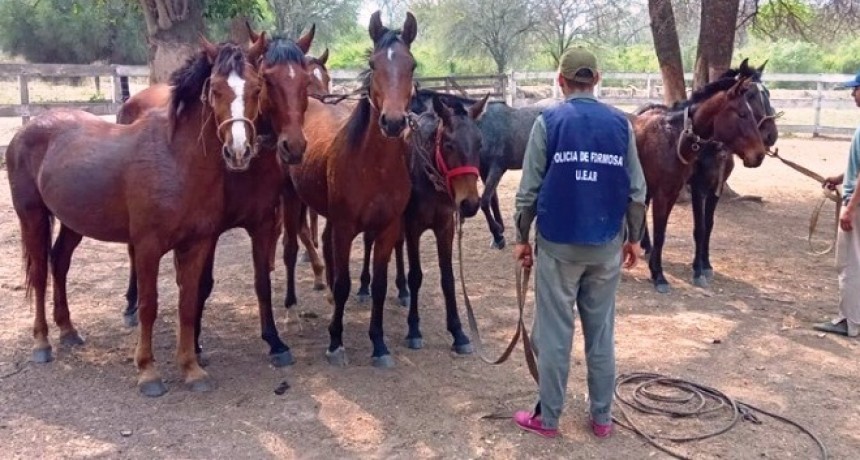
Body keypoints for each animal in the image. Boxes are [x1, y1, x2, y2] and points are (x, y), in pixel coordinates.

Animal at [5, 37, 266, 396]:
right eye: (215, 89)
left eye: (256, 88)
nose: (238, 152)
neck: (175, 159)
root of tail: (26, 131)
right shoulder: (147, 247)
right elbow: (148, 305)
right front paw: (148, 372)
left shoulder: (197, 244)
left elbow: (188, 303)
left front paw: (191, 369)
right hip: (32, 217)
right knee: (41, 273)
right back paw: (42, 344)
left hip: (73, 222)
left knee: (59, 263)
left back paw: (69, 331)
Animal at [119, 31, 318, 370]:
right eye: (268, 80)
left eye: (305, 81)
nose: (293, 146)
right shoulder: (209, 231)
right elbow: (201, 285)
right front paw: (195, 344)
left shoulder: (262, 222)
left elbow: (261, 281)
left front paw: (274, 341)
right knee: (135, 253)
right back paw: (132, 304)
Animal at [284, 10, 418, 368]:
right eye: (373, 64)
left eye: (412, 65)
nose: (393, 122)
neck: (374, 166)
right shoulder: (345, 227)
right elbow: (344, 282)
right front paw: (335, 342)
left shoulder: (387, 228)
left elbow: (381, 286)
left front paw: (379, 344)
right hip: (290, 202)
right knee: (290, 251)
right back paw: (291, 312)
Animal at [356, 91, 488, 354]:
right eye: (449, 145)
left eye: (479, 144)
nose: (469, 203)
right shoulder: (413, 227)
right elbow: (416, 275)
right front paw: (414, 330)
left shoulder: (445, 227)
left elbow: (448, 278)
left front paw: (458, 333)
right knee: (369, 242)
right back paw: (365, 287)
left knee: (396, 246)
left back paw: (402, 290)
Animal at [636, 73, 768, 292]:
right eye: (742, 113)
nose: (759, 155)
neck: (673, 139)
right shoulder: (673, 192)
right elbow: (666, 232)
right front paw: (659, 276)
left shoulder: (679, 192)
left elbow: (696, 228)